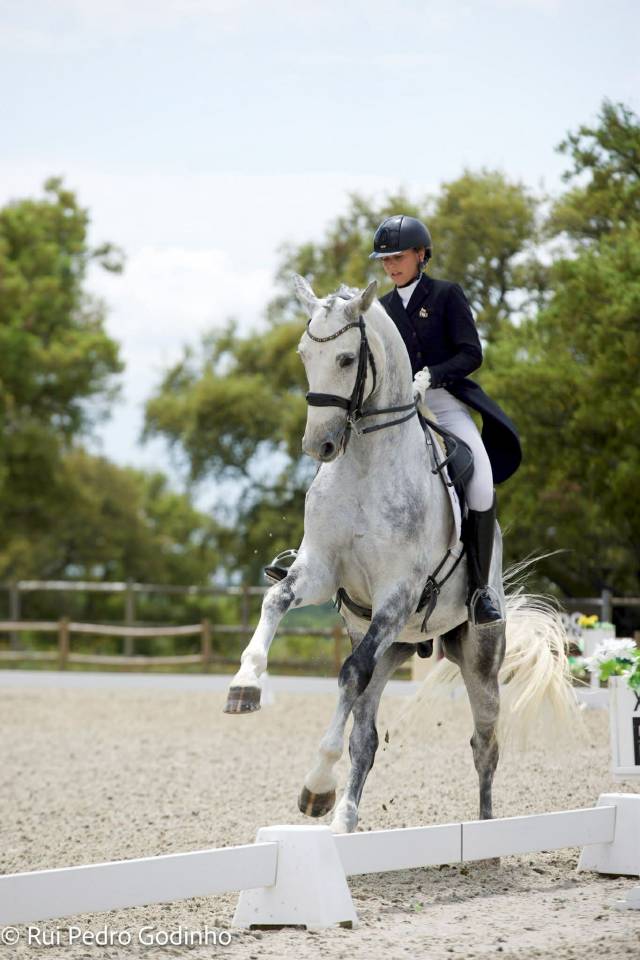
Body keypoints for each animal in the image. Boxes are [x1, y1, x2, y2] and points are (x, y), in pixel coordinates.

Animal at [223, 275, 575, 834]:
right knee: (366, 735)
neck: (366, 464)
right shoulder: (320, 571)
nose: (319, 446)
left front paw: (316, 780)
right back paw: (341, 818)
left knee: (485, 743)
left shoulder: (398, 594)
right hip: (391, 645)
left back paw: (485, 831)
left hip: (477, 657)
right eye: (304, 354)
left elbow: (347, 673)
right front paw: (245, 686)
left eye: (347, 359)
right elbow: (275, 601)